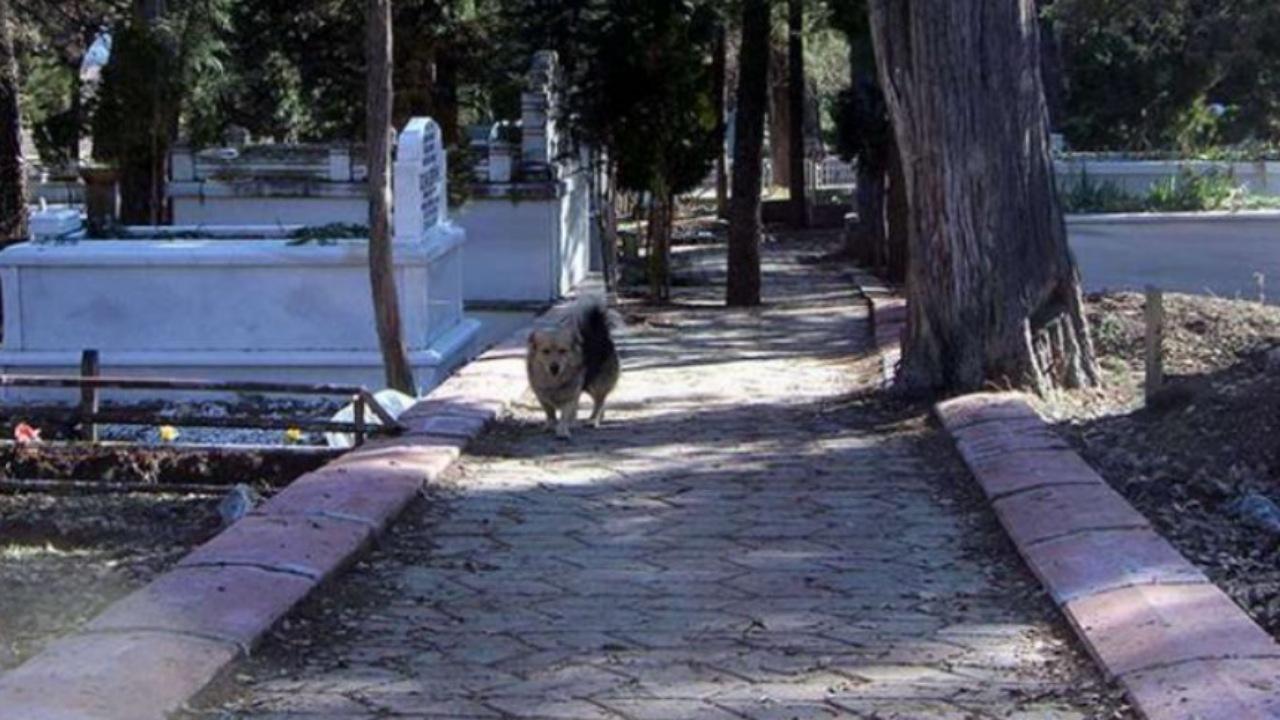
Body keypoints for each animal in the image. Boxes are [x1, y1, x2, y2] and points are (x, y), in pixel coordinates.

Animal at [522, 293, 616, 438]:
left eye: (563, 351)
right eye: (545, 351)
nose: (554, 367)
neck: (554, 380)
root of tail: (600, 333)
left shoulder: (571, 396)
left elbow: (565, 415)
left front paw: (563, 430)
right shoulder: (542, 396)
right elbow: (550, 413)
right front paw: (550, 425)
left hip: (597, 384)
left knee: (599, 402)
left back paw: (593, 420)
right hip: (587, 385)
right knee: (600, 401)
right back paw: (597, 418)